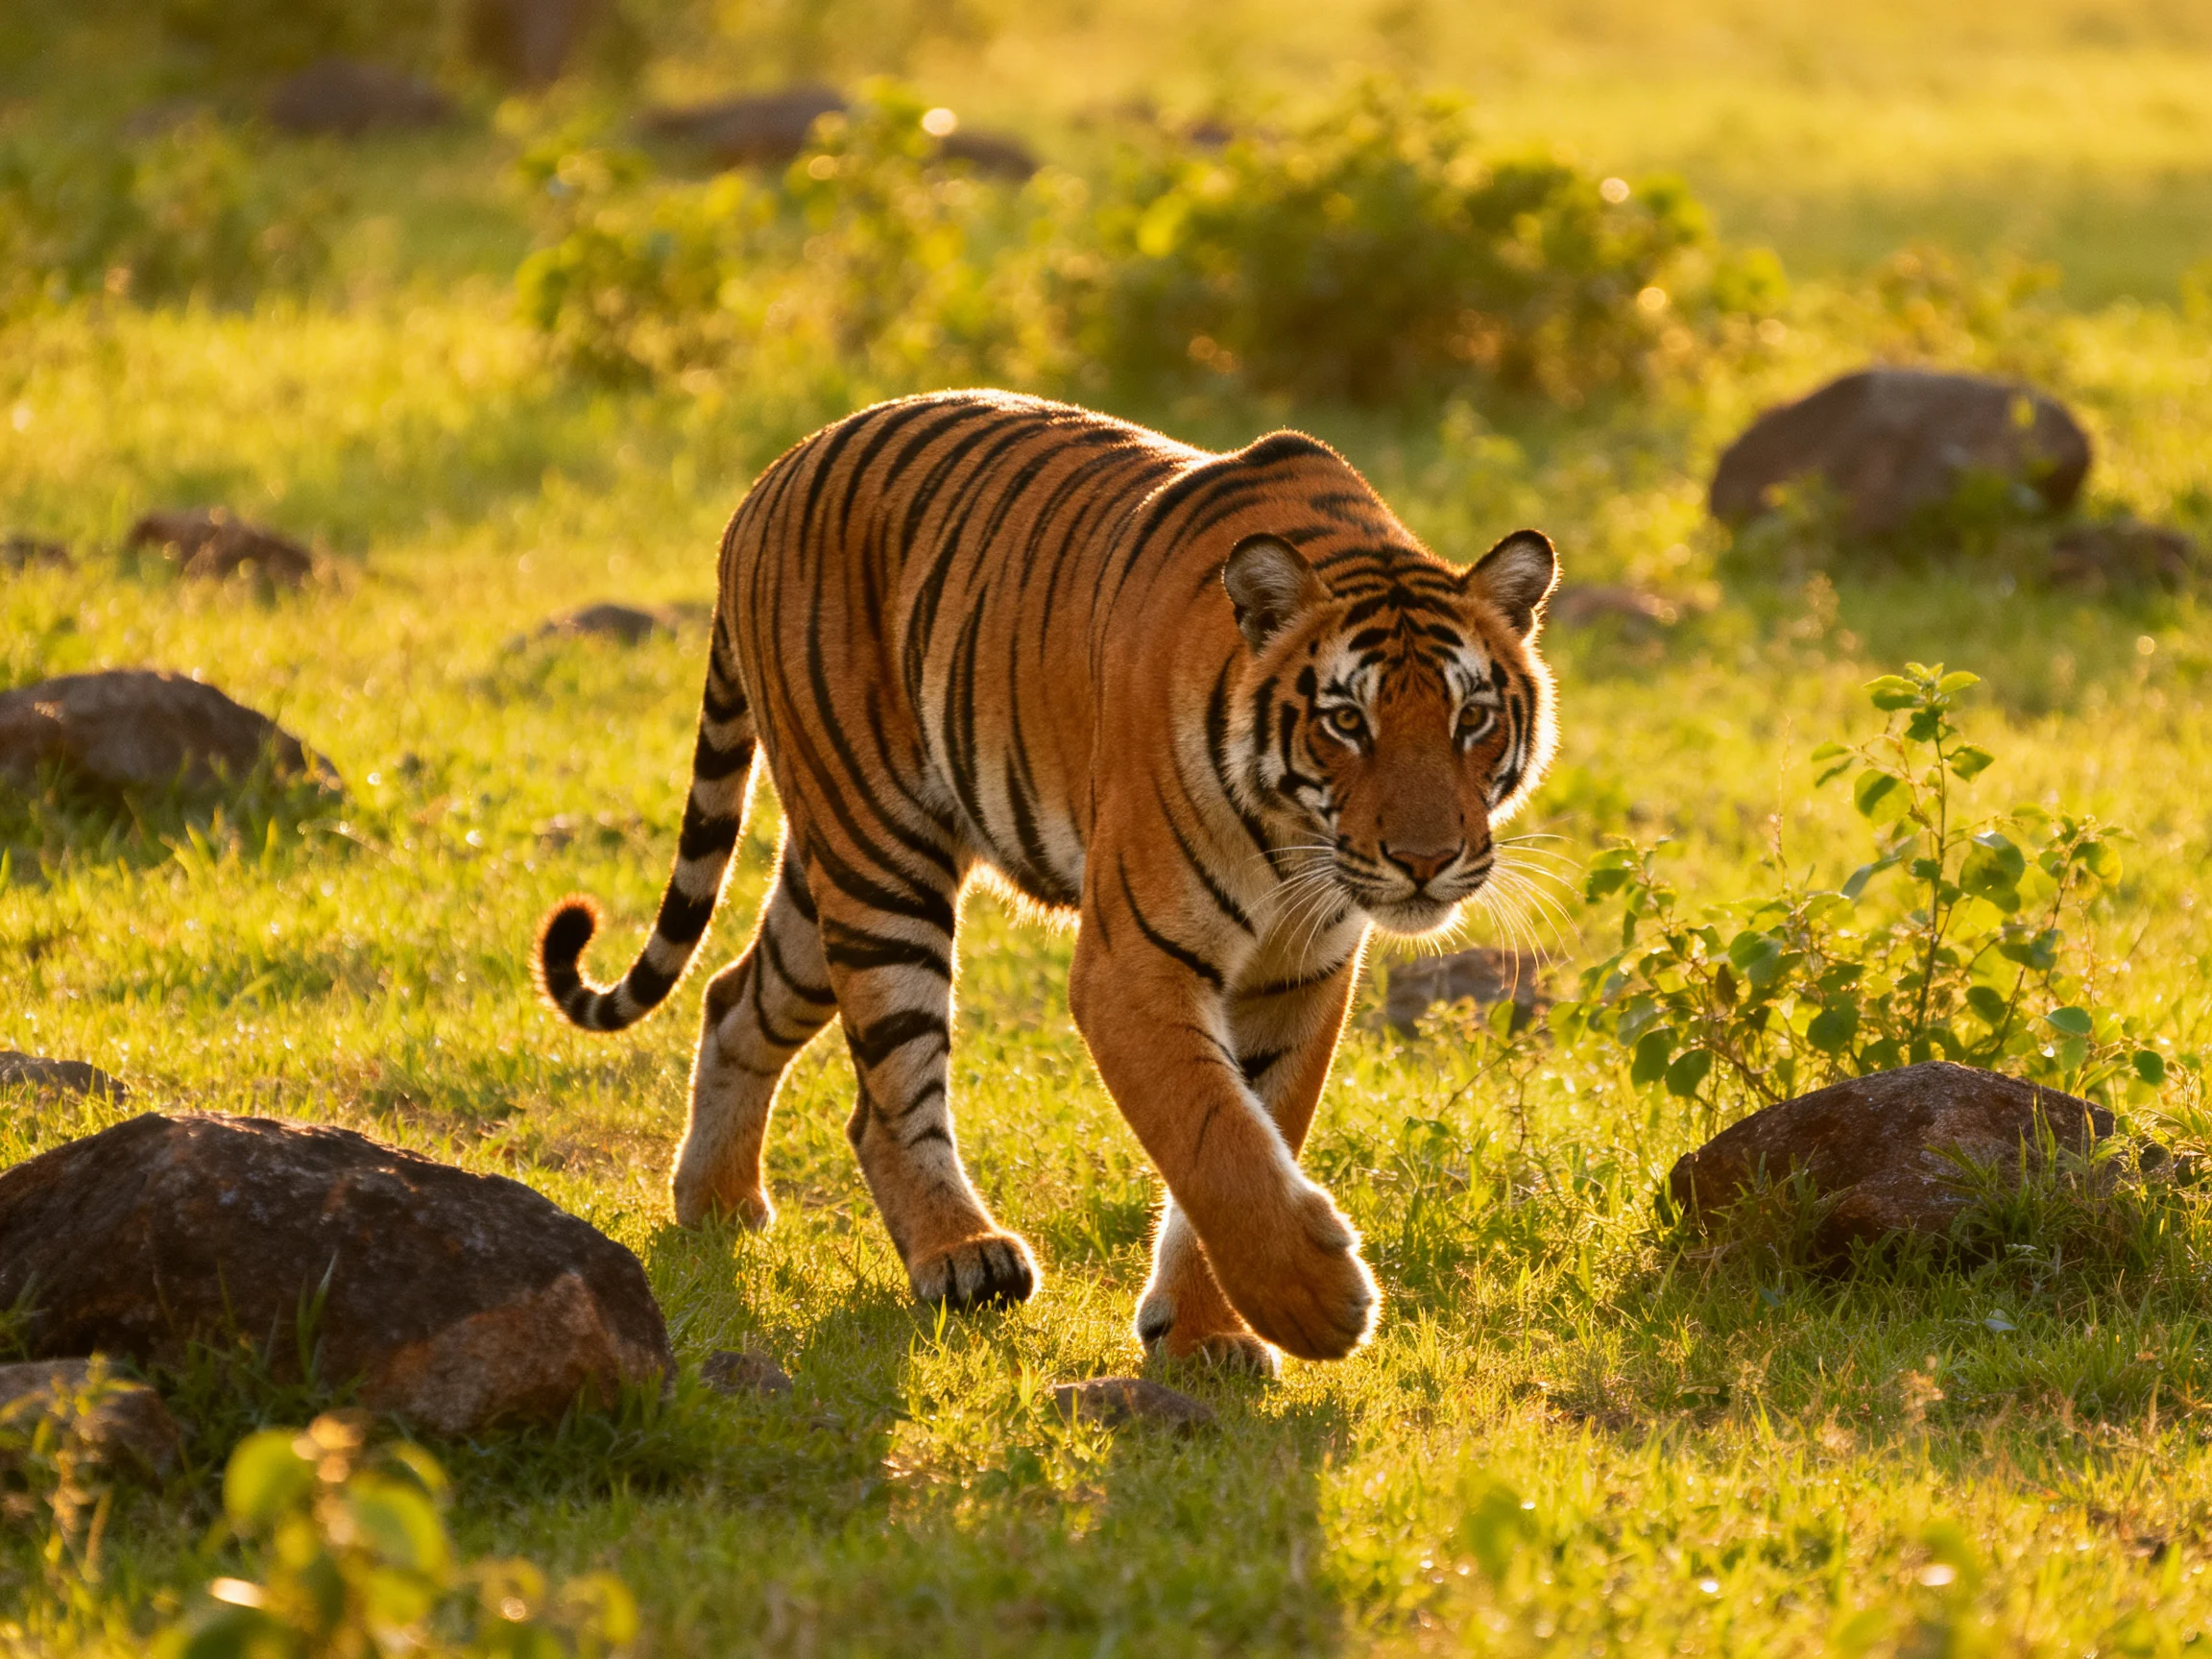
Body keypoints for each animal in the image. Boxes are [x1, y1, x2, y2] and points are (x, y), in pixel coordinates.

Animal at [535, 390, 1558, 1371]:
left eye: (1472, 718)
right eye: (1347, 721)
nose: (1423, 860)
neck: (1291, 842)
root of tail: (768, 479)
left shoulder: (1298, 975)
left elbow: (1259, 1130)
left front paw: (1205, 1333)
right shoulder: (1135, 962)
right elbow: (1214, 1136)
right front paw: (1314, 1305)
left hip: (828, 873)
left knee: (734, 999)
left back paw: (717, 1207)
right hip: (880, 856)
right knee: (888, 1093)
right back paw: (959, 1255)